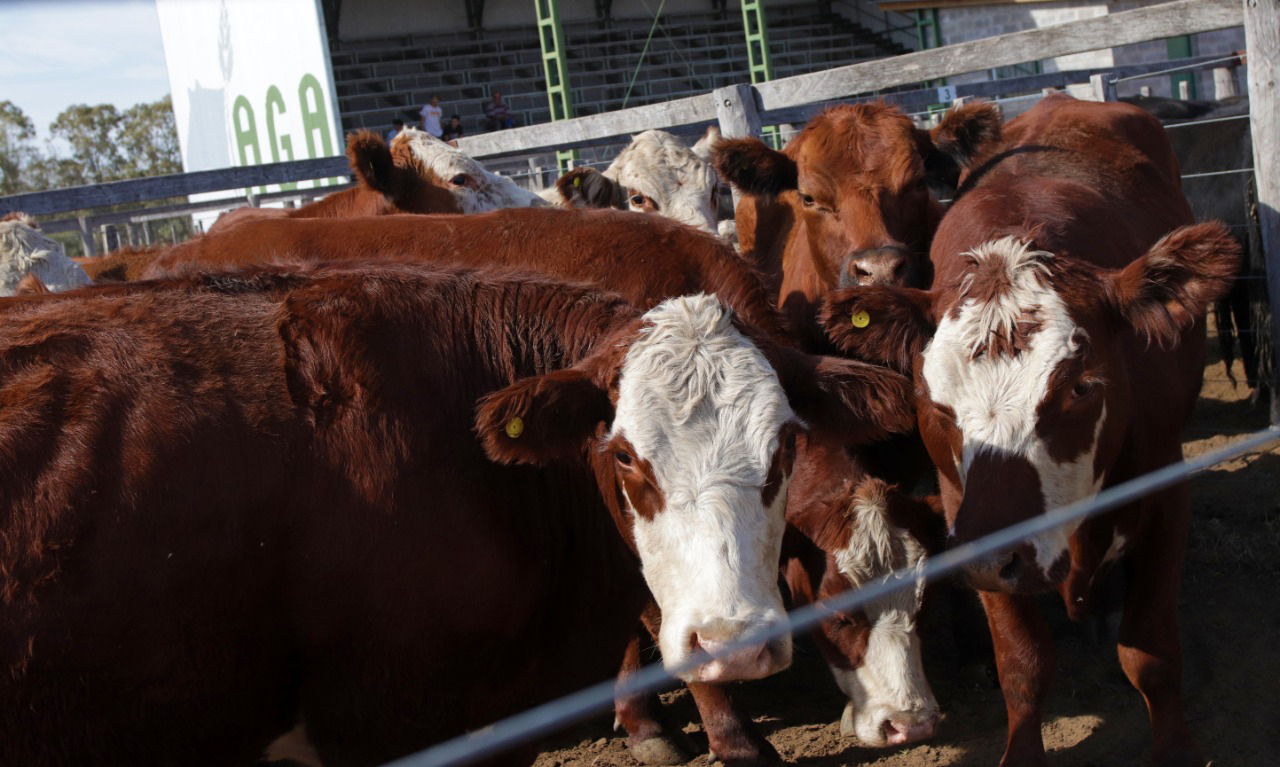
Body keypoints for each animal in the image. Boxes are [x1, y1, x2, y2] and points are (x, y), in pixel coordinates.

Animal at [819, 96, 1239, 767]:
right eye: (931, 400)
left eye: (1082, 387)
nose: (1000, 550)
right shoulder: (968, 521)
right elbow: (1022, 664)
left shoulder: (1166, 495)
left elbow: (1150, 653)